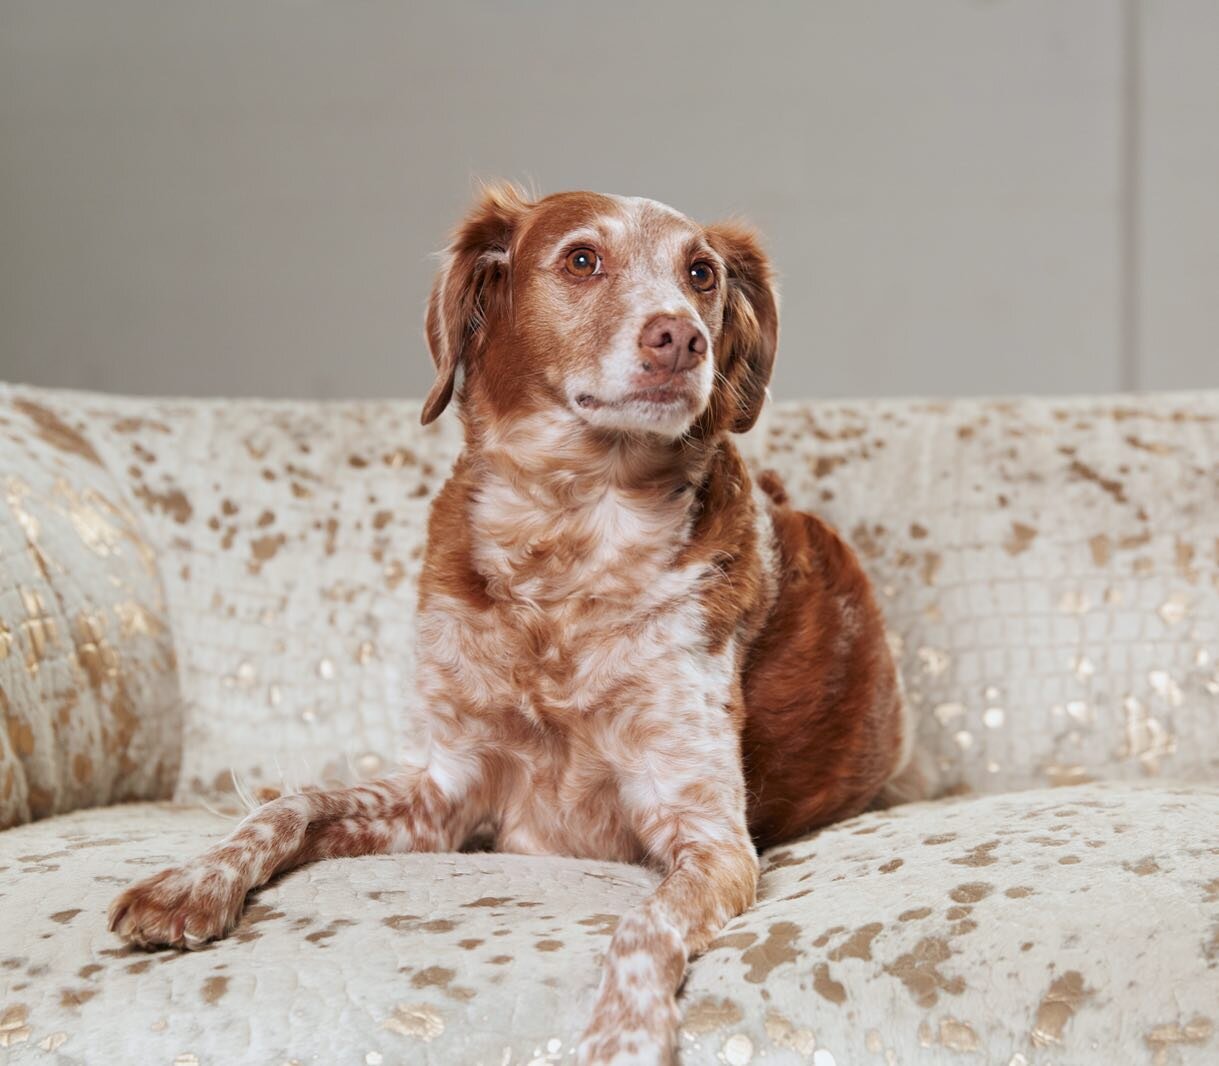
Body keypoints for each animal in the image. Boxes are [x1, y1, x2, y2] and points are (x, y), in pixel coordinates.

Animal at [112, 185, 916, 1063]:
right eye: (581, 259)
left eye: (700, 273)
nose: (682, 337)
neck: (568, 537)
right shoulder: (445, 791)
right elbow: (291, 806)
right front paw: (192, 880)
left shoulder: (709, 838)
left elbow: (642, 928)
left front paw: (620, 1036)